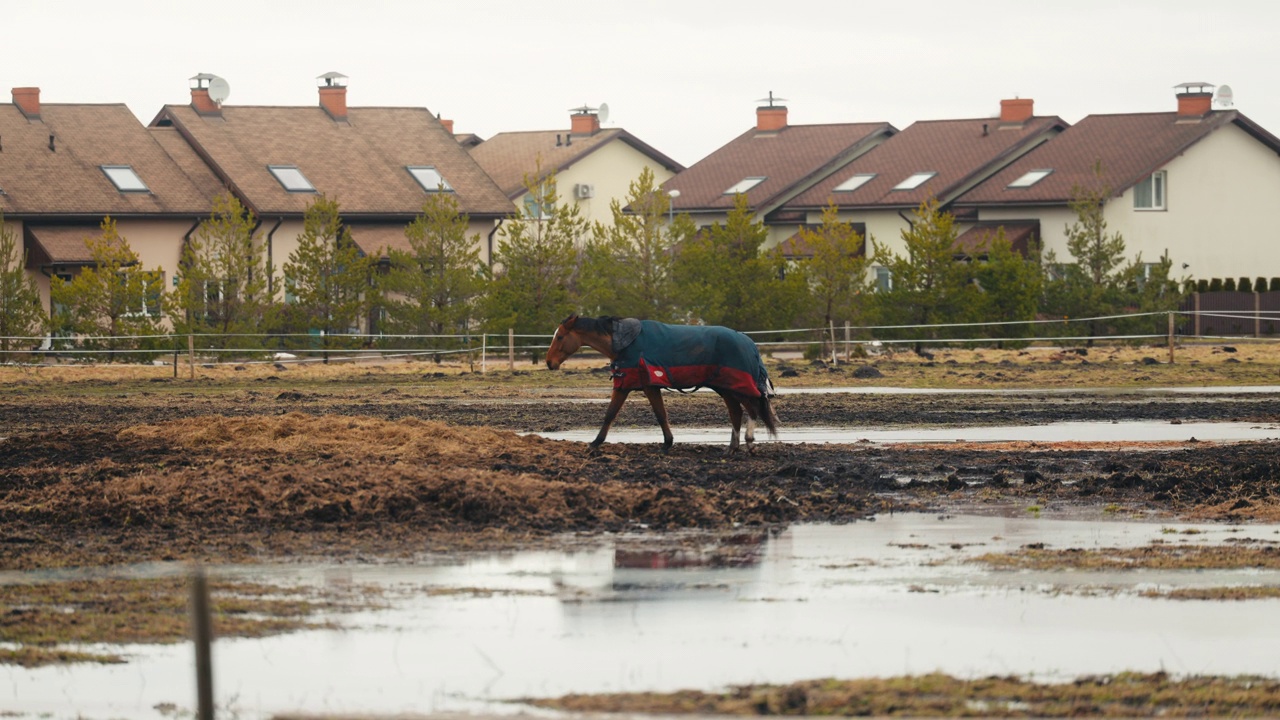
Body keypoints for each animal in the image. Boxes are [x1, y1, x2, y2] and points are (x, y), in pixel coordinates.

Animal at [542, 311, 773, 450]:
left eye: (560, 337)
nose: (549, 362)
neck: (626, 343)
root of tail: (747, 341)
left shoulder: (649, 386)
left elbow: (660, 414)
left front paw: (667, 443)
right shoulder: (623, 386)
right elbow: (610, 414)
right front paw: (595, 442)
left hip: (736, 386)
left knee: (751, 409)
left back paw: (748, 443)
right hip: (725, 388)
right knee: (737, 412)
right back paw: (733, 447)